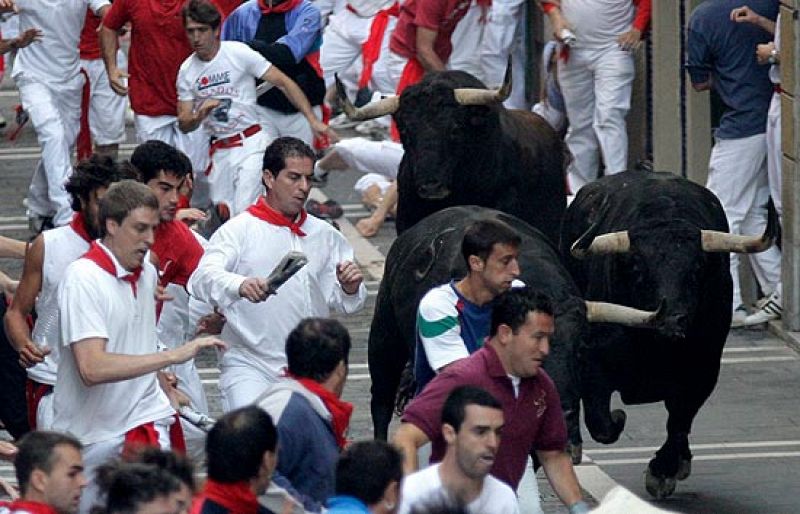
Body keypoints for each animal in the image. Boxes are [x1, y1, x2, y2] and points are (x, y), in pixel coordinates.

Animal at [560, 170, 780, 498]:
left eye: (697, 267)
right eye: (638, 267)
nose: (672, 321)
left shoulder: (703, 369)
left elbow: (679, 419)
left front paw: (663, 470)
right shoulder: (594, 362)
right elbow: (602, 422)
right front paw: (617, 420)